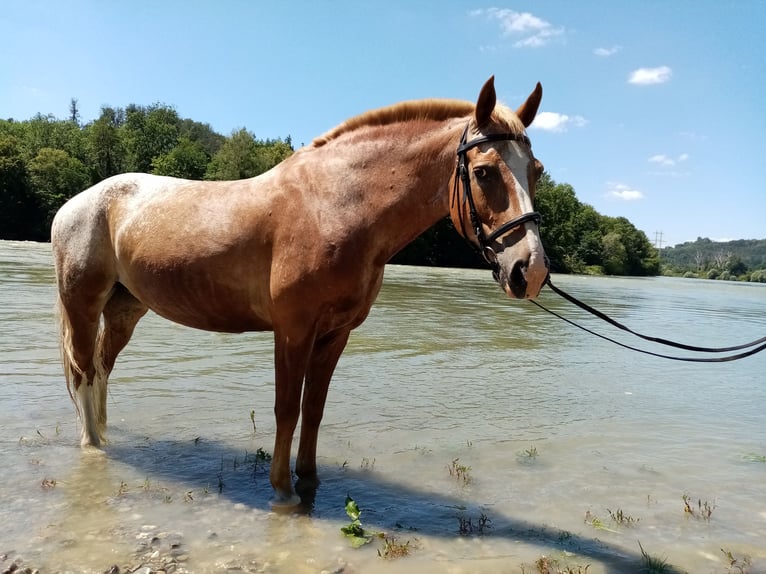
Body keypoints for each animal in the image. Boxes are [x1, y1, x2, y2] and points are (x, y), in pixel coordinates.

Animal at [51, 77, 548, 508]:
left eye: (537, 171)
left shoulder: (335, 334)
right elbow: (287, 408)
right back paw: (92, 445)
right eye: (484, 172)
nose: (531, 269)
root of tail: (77, 203)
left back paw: (104, 434)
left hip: (125, 310)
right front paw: (283, 490)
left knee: (102, 368)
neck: (334, 206)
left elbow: (314, 409)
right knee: (84, 371)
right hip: (83, 304)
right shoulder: (293, 330)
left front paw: (308, 479)